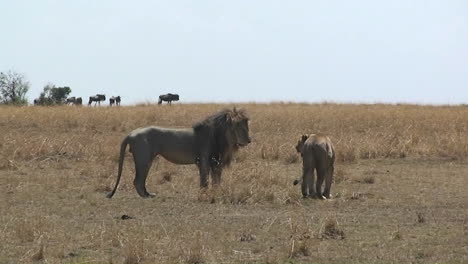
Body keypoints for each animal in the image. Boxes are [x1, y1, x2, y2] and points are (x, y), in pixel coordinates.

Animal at [107, 107, 252, 198]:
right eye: (238, 125)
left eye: (246, 125)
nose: (249, 140)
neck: (222, 139)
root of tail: (130, 133)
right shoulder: (204, 160)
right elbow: (204, 180)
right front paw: (204, 195)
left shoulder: (217, 162)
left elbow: (217, 180)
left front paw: (217, 193)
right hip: (144, 159)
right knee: (137, 180)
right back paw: (147, 196)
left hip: (146, 160)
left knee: (140, 180)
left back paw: (148, 194)